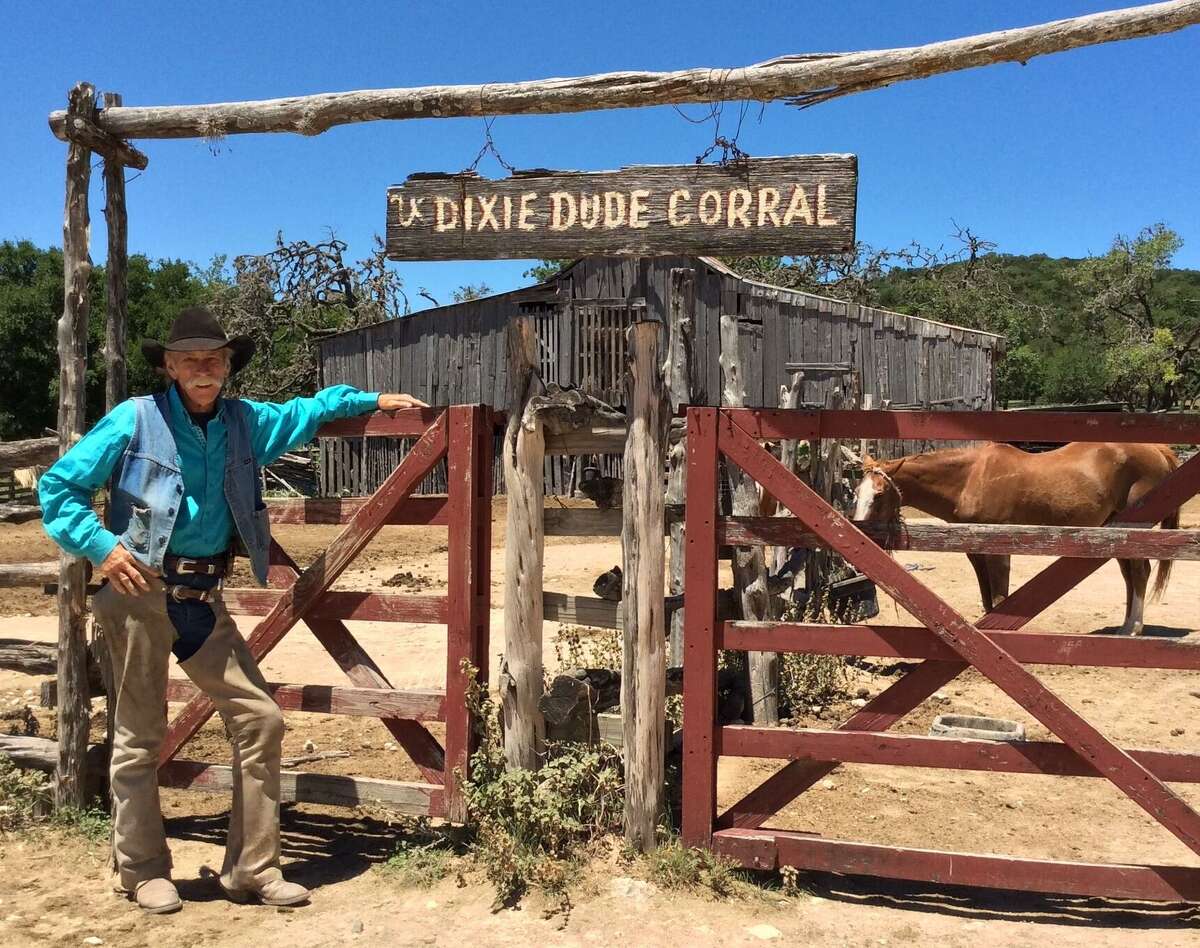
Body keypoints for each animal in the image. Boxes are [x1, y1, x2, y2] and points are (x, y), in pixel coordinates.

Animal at [854, 446, 1180, 638]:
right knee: (1130, 575)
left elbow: (1000, 598)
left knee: (1139, 573)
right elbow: (987, 598)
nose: (859, 533)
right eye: (856, 492)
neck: (971, 478)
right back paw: (1125, 625)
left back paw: (1132, 629)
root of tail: (1157, 449)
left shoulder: (999, 550)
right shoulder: (976, 551)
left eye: (879, 495)